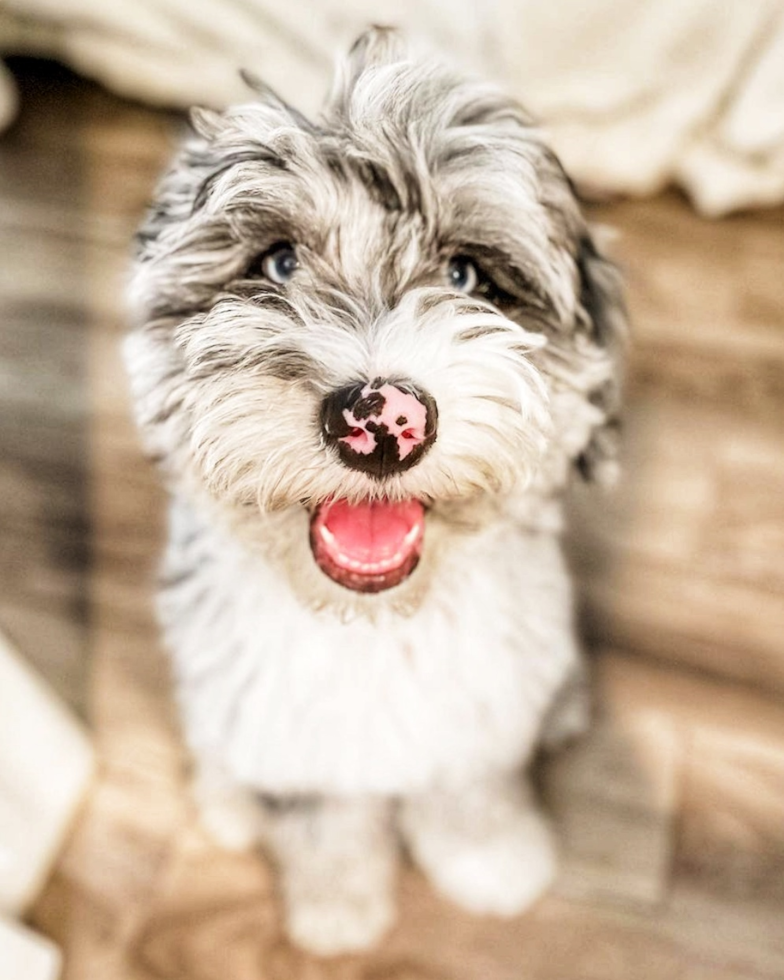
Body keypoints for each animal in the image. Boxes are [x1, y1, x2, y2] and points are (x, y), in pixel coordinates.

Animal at [122, 26, 624, 952]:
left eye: (466, 277)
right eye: (279, 263)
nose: (382, 418)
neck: (373, 622)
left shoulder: (481, 714)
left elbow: (470, 792)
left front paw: (492, 864)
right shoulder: (291, 738)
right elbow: (326, 819)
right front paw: (338, 907)